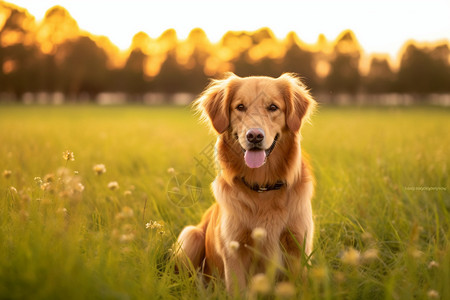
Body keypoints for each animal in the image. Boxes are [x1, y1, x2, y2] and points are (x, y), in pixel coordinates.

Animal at [174, 72, 314, 292]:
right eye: (240, 107)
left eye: (273, 107)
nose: (254, 136)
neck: (263, 186)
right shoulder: (234, 250)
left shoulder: (298, 246)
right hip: (190, 235)